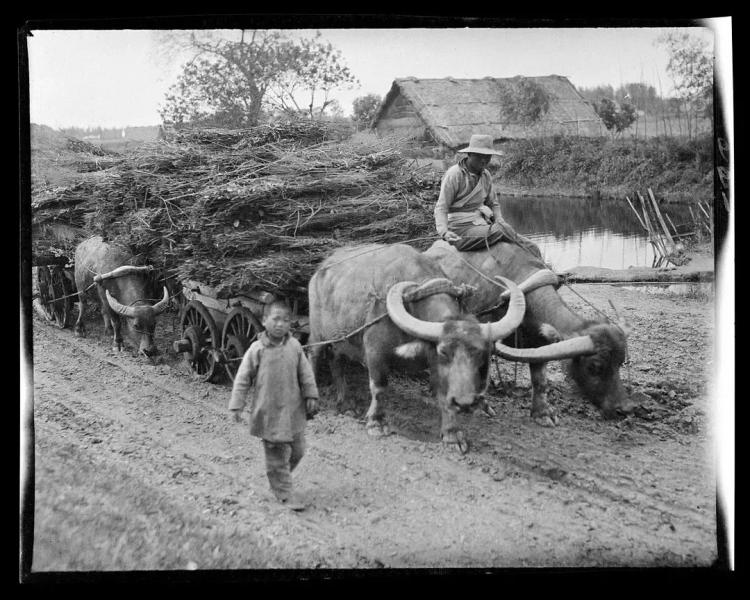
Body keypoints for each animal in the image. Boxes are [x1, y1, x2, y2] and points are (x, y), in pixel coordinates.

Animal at [308, 241, 524, 452]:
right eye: (443, 351)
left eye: (480, 354)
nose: (465, 403)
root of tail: (319, 271)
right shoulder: (375, 350)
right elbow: (379, 386)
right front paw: (376, 423)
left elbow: (443, 393)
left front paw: (452, 435)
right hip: (317, 332)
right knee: (313, 354)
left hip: (340, 339)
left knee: (336, 362)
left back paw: (344, 404)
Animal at [426, 237, 632, 424]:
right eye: (595, 366)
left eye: (620, 363)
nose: (623, 409)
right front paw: (481, 407)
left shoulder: (540, 344)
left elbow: (540, 381)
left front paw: (543, 413)